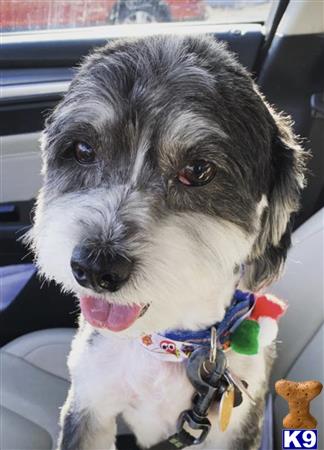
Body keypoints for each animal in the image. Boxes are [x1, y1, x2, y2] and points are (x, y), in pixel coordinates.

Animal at [26, 36, 306, 450]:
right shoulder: (89, 402)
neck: (169, 347)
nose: (95, 267)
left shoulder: (238, 425)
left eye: (199, 170)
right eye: (82, 150)